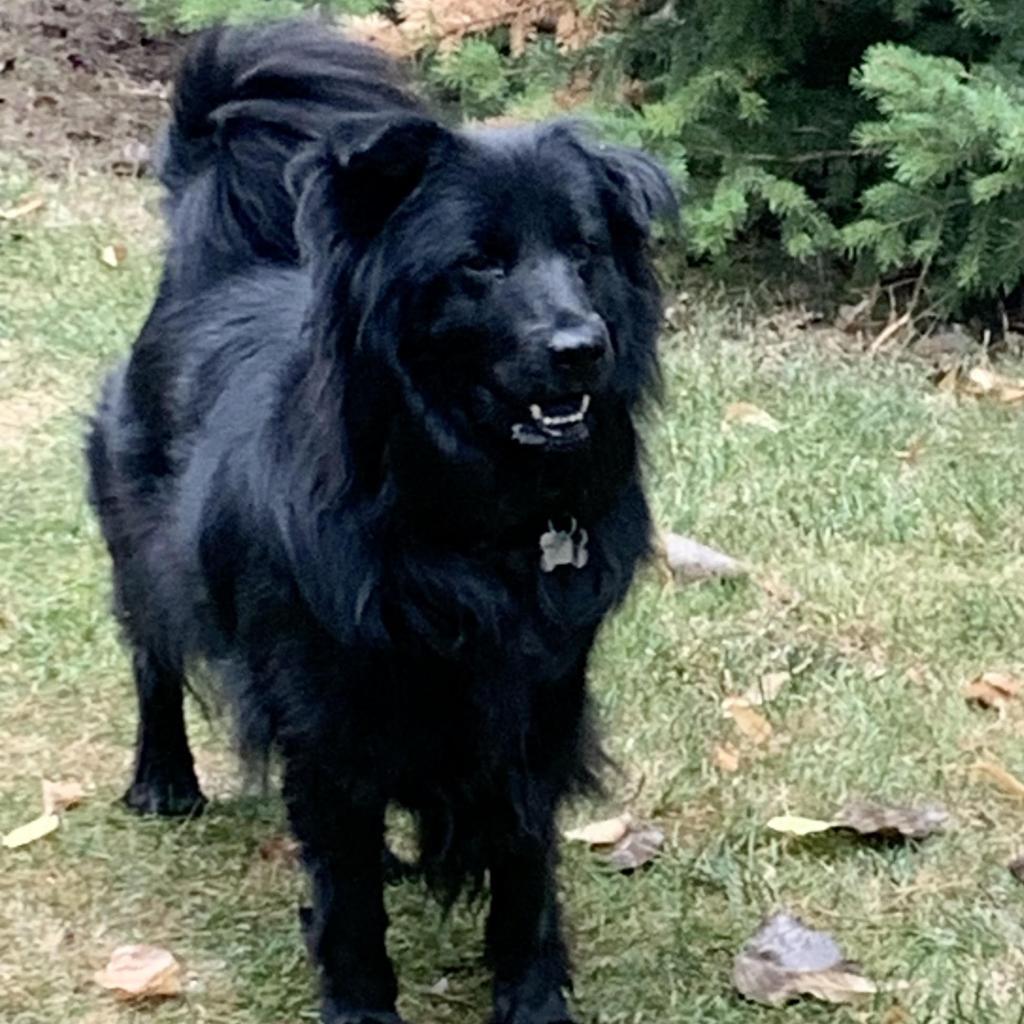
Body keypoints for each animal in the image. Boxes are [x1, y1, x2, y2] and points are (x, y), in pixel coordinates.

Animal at [86, 22, 671, 1024]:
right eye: (480, 261)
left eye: (585, 250)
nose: (581, 348)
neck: (466, 508)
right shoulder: (324, 711)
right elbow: (346, 881)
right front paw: (361, 1000)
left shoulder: (540, 696)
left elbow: (525, 862)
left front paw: (531, 994)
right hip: (138, 543)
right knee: (152, 655)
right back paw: (163, 779)